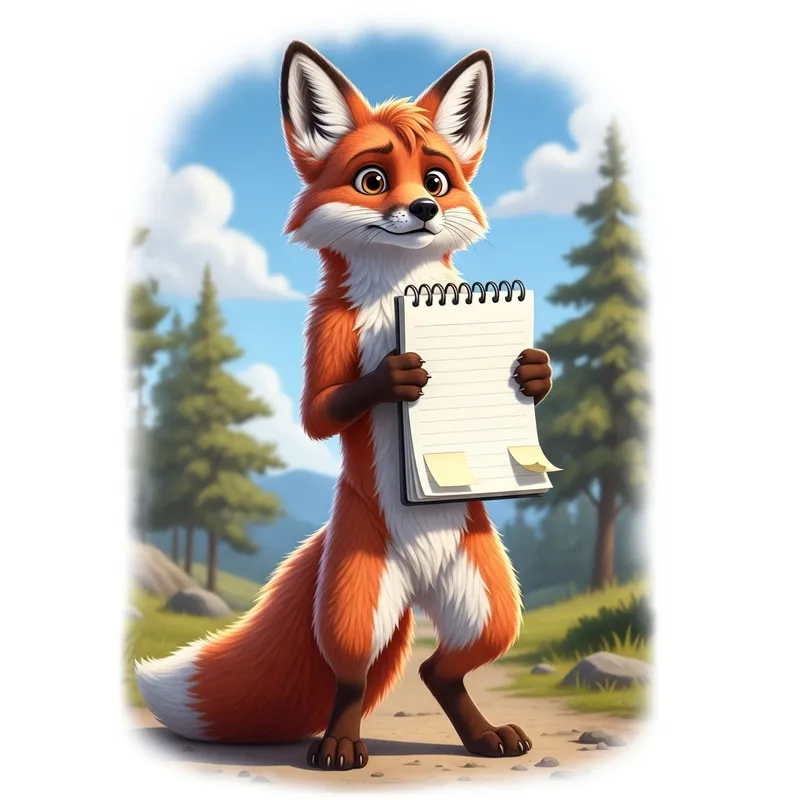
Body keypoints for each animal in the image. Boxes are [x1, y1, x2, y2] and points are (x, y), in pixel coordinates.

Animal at [135, 40, 554, 771]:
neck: (396, 294)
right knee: (355, 679)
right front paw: (396, 377)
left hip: (489, 605)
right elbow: (319, 411)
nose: (424, 209)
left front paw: (535, 372)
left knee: (440, 670)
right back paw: (340, 744)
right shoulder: (326, 336)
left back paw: (484, 736)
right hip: (354, 604)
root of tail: (418, 583)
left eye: (437, 180)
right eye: (372, 180)